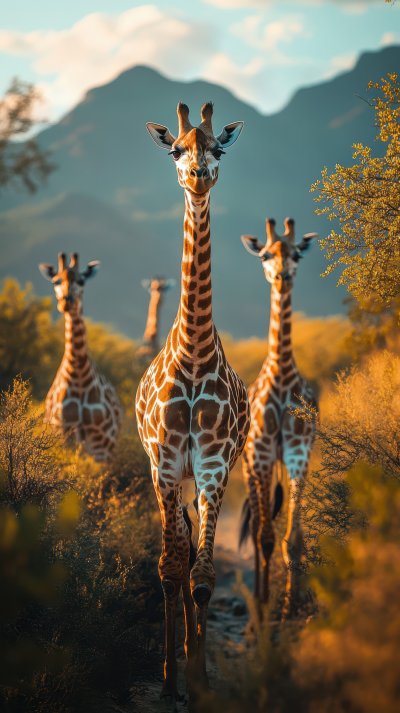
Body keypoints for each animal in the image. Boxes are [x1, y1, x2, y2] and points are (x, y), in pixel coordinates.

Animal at [39, 252, 122, 462]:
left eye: (81, 280)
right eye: (56, 281)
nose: (66, 302)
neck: (78, 376)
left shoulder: (101, 444)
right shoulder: (63, 435)